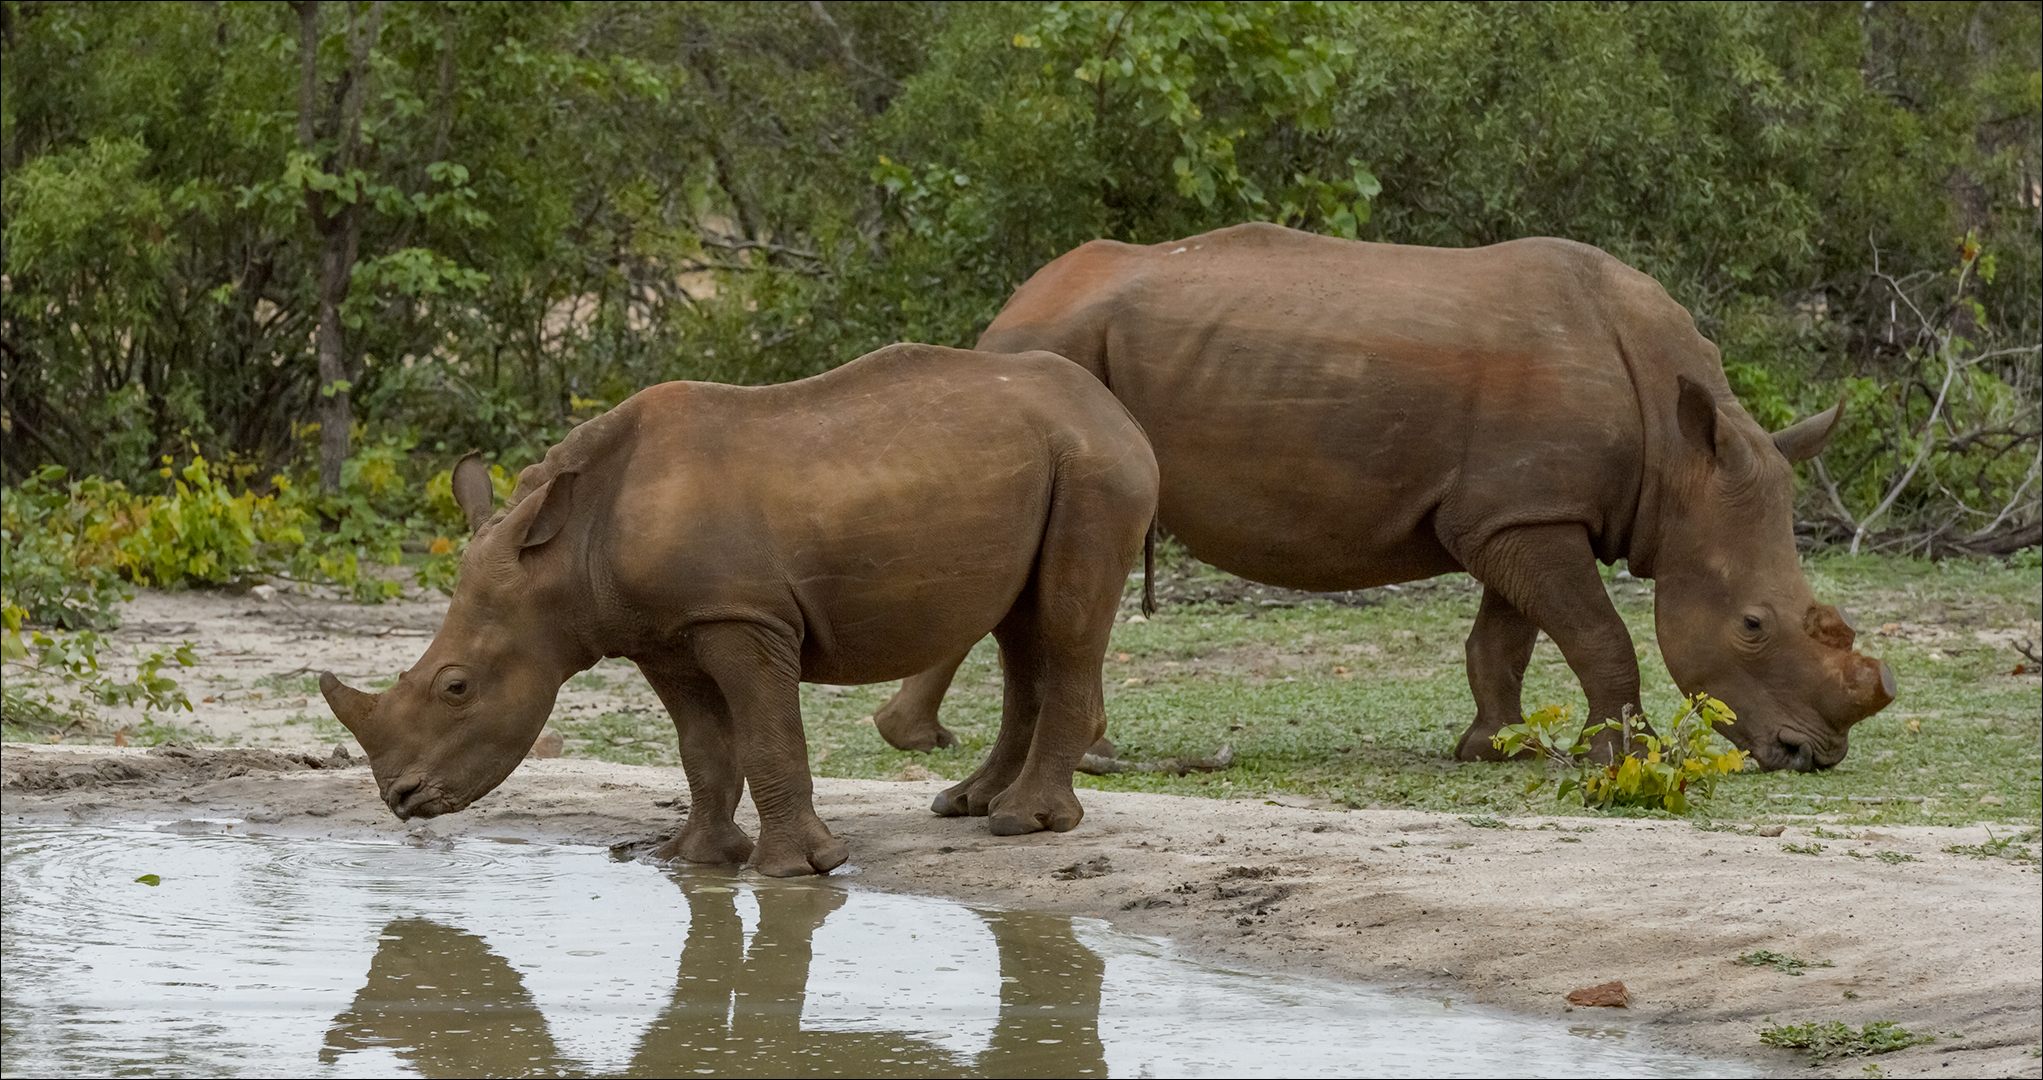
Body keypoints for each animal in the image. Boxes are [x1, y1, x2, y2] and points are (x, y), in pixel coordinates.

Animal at [319, 344, 1158, 875]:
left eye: (456, 687)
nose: (398, 801)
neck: (565, 554)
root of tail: (1113, 407)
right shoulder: (662, 632)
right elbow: (702, 747)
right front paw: (689, 859)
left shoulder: (741, 619)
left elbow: (765, 737)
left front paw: (796, 870)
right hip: (1046, 460)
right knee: (1018, 626)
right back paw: (967, 806)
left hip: (1094, 467)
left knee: (1064, 621)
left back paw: (1023, 822)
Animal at [874, 223, 1896, 771]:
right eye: (1753, 626)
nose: (1812, 757)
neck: (1680, 463)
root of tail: (1013, 306)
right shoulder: (1527, 515)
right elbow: (1598, 635)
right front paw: (1624, 759)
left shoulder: (1517, 510)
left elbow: (1506, 638)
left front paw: (1493, 747)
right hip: (1051, 356)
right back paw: (1049, 754)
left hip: (1051, 356)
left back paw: (923, 740)